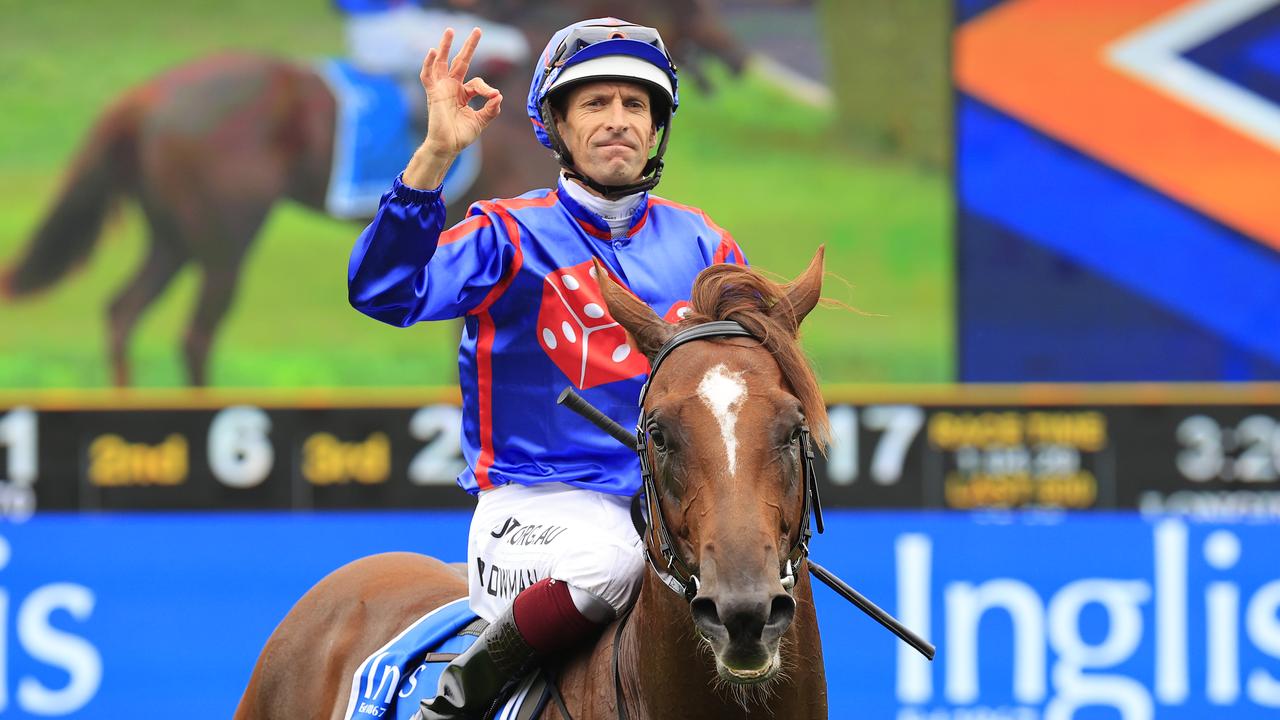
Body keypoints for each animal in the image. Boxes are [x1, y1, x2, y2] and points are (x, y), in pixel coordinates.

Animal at [0, 0, 747, 386]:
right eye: (699, 7)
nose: (738, 59)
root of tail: (146, 93)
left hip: (176, 236)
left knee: (124, 313)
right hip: (224, 240)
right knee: (193, 334)